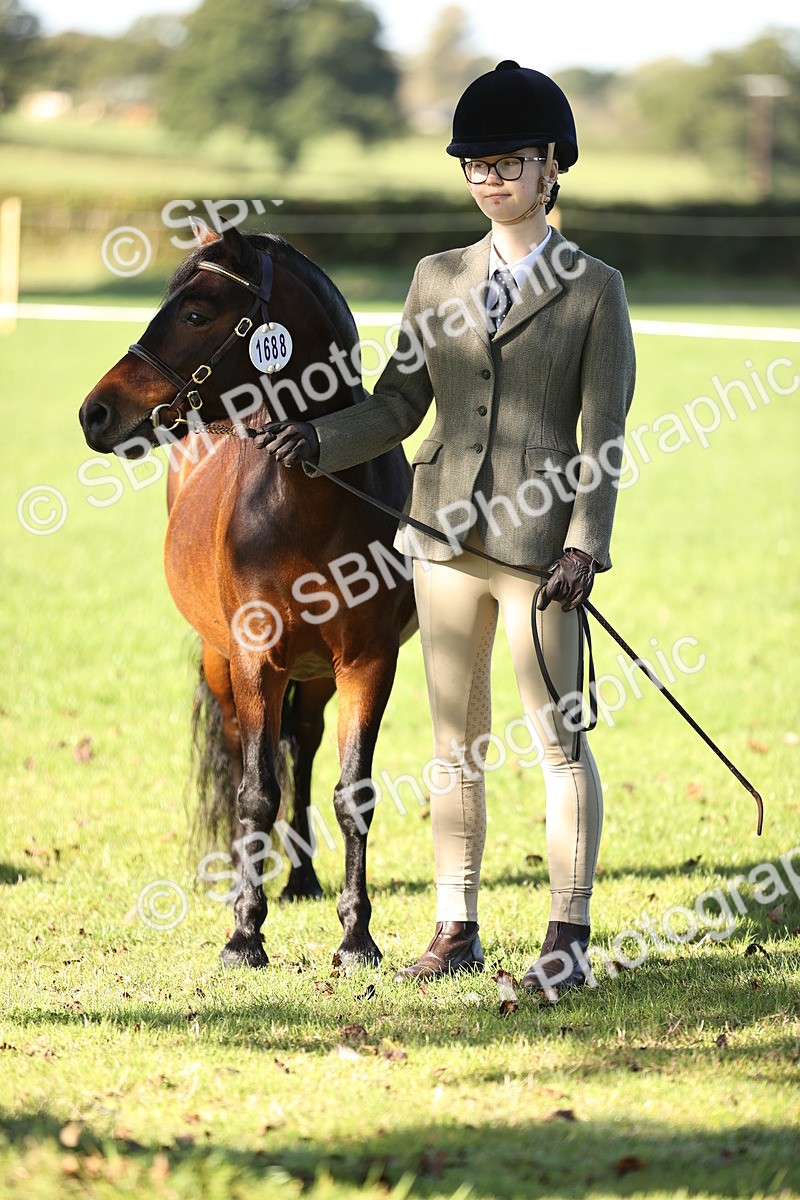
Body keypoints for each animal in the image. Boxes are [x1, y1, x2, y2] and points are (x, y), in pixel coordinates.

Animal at [79, 222, 416, 969]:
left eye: (196, 313)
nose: (96, 412)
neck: (312, 503)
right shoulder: (256, 659)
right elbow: (255, 793)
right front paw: (243, 932)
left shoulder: (368, 663)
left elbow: (352, 794)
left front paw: (356, 937)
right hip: (222, 662)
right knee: (242, 760)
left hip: (315, 677)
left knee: (305, 749)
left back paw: (301, 876)